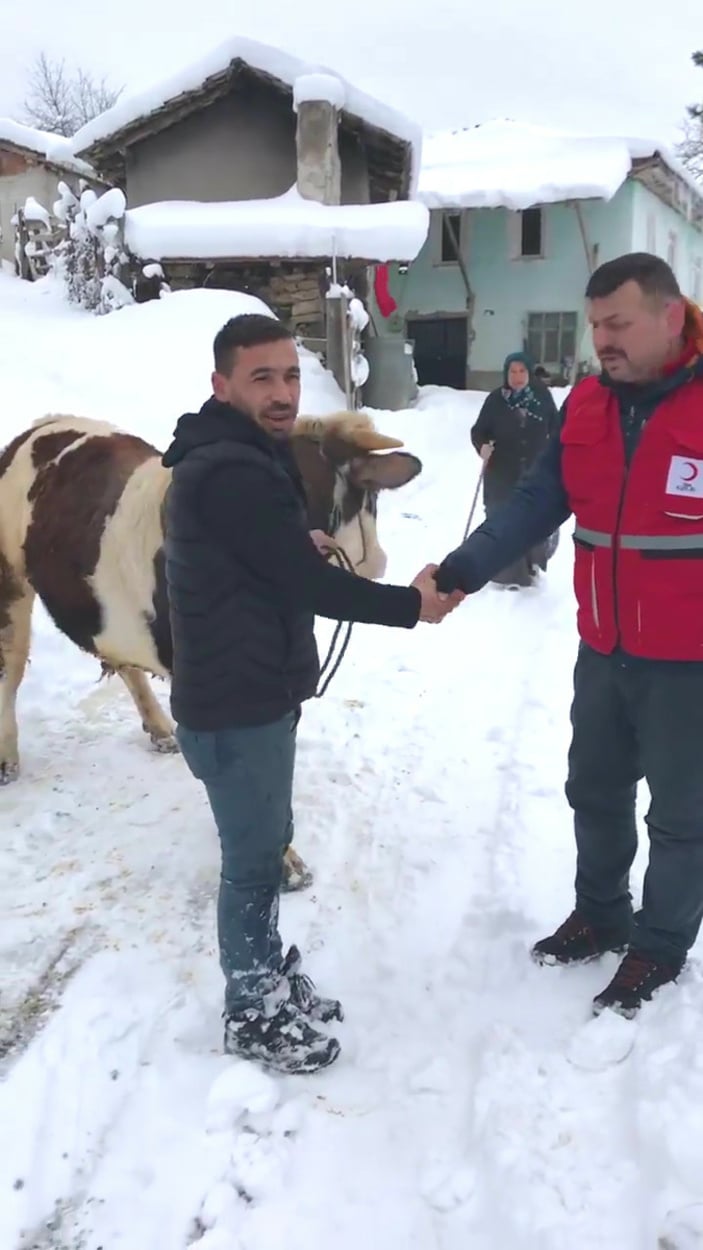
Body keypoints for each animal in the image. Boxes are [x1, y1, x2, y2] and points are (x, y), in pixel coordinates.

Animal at [0, 407, 417, 880]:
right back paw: (8, 760)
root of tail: (42, 425)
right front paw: (285, 863)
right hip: (11, 583)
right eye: (348, 497)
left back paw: (160, 730)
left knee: (122, 662)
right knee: (11, 667)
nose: (378, 562)